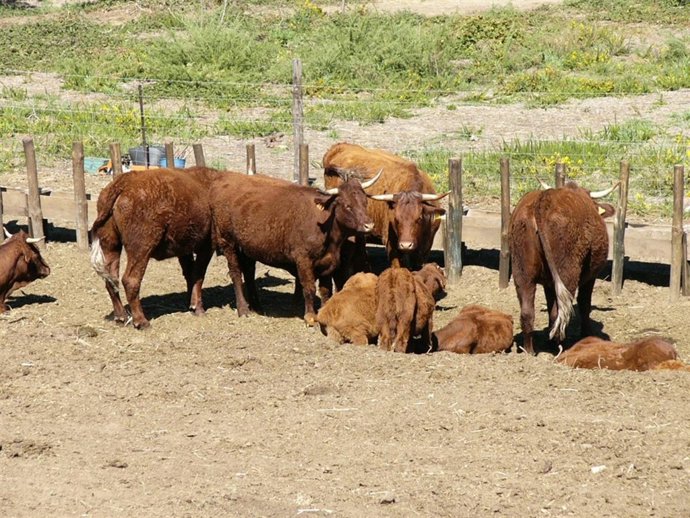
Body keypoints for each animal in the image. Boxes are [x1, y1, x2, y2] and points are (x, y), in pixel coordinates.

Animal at [90, 167, 222, 329]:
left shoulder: (184, 250)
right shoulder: (207, 246)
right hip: (141, 248)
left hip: (111, 246)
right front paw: (198, 308)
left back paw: (121, 317)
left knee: (111, 280)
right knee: (130, 280)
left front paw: (190, 304)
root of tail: (125, 181)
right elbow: (198, 276)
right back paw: (141, 321)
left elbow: (189, 274)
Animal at [211, 171, 380, 326]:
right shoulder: (303, 259)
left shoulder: (328, 262)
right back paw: (243, 309)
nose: (369, 225)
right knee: (236, 274)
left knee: (249, 272)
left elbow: (326, 290)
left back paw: (257, 307)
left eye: (365, 202)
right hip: (228, 242)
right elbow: (309, 287)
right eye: (347, 206)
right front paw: (310, 317)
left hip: (247, 247)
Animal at [323, 142, 447, 284]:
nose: (406, 244)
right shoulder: (392, 243)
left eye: (419, 218)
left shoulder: (426, 245)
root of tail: (338, 147)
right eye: (396, 219)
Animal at [509, 180, 618, 354]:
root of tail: (543, 200)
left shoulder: (548, 283)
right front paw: (586, 334)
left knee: (527, 312)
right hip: (567, 273)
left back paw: (529, 351)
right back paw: (558, 347)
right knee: (558, 313)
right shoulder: (590, 277)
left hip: (522, 273)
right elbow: (584, 303)